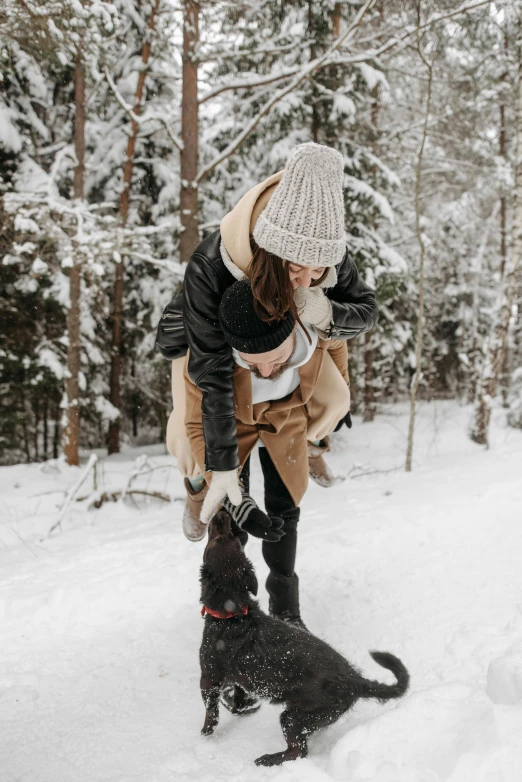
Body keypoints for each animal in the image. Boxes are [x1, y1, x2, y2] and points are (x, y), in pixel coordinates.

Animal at [197, 512, 408, 768]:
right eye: (234, 541)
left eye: (220, 539)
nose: (223, 515)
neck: (233, 613)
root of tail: (355, 680)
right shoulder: (238, 679)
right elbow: (238, 697)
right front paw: (241, 707)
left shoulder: (209, 677)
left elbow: (211, 711)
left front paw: (205, 733)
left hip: (293, 716)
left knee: (297, 751)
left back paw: (268, 759)